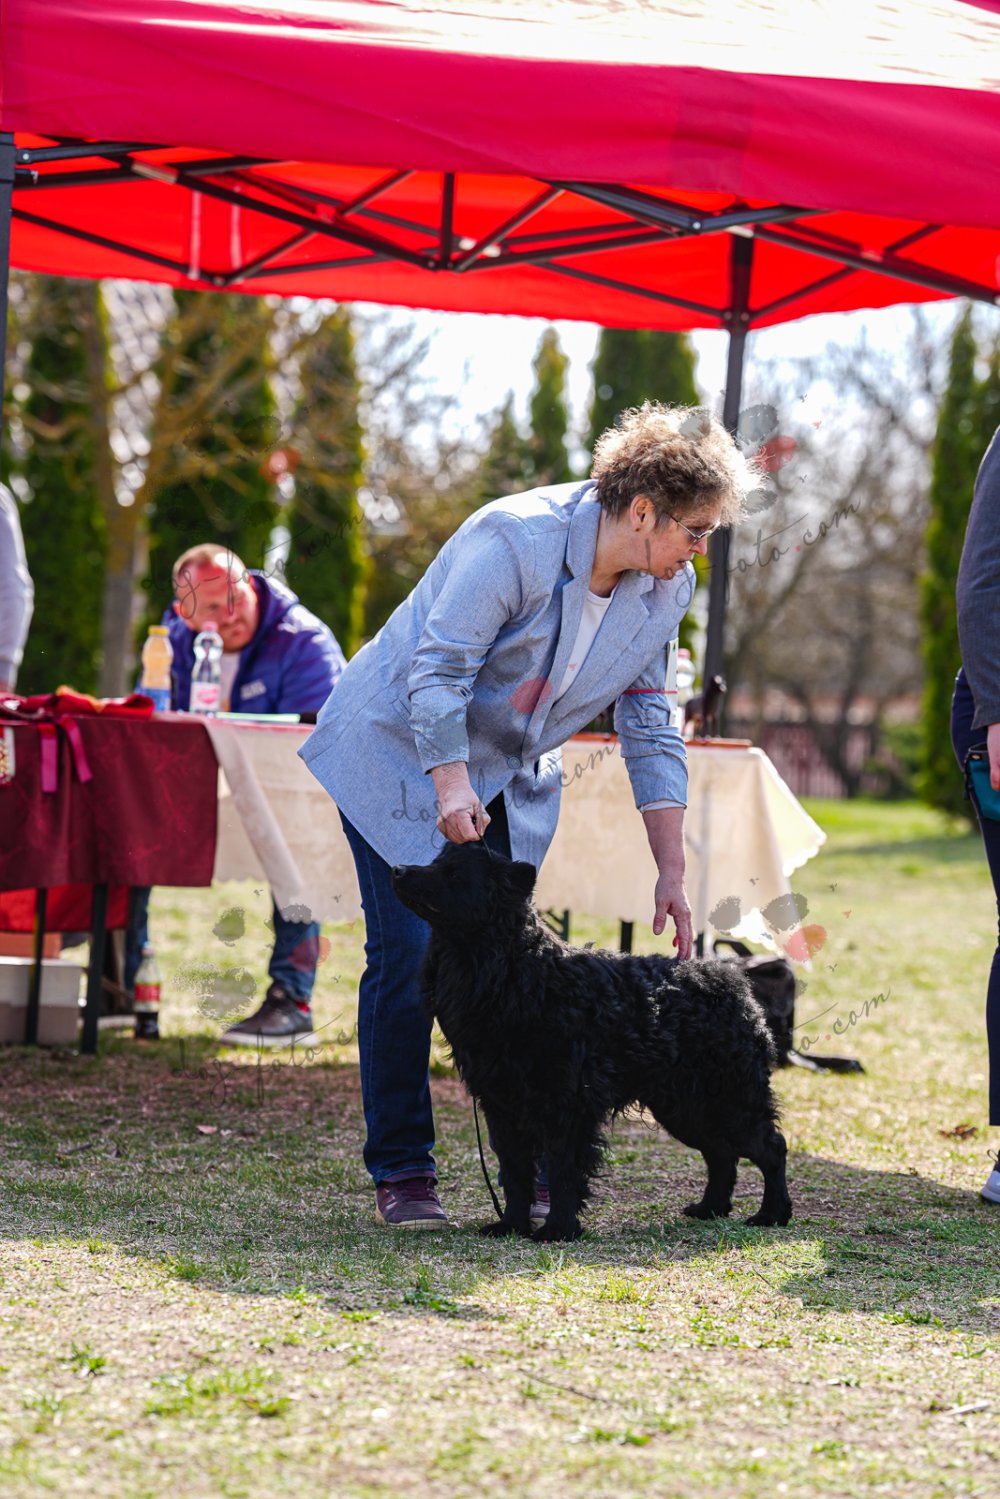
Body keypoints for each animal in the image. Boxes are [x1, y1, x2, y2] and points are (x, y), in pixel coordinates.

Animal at [391, 841, 792, 1241]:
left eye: (454, 874)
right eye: (436, 862)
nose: (396, 869)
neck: (517, 971)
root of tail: (733, 981)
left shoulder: (567, 1102)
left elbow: (563, 1170)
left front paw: (558, 1229)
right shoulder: (501, 1103)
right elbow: (516, 1171)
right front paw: (511, 1225)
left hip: (730, 1098)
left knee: (771, 1148)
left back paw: (772, 1213)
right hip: (685, 1106)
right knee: (722, 1153)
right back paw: (711, 1208)